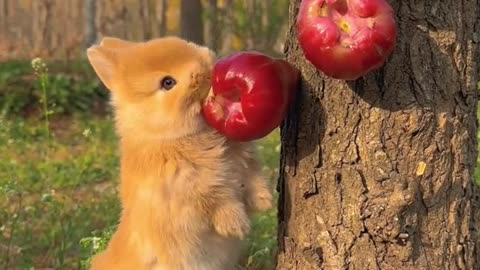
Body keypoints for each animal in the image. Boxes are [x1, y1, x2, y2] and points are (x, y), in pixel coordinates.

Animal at [86, 36, 274, 270]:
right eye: (167, 83)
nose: (206, 69)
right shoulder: (191, 188)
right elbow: (218, 199)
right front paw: (237, 226)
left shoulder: (246, 163)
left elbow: (254, 179)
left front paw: (265, 202)